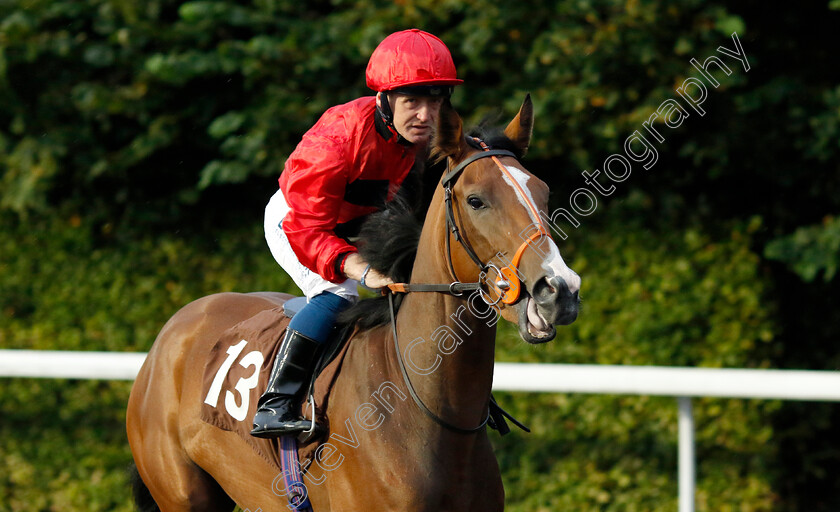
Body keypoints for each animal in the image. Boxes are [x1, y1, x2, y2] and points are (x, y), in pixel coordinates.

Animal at [128, 97, 580, 512]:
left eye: (543, 191)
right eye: (476, 200)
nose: (559, 291)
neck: (427, 413)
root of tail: (172, 329)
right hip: (183, 495)